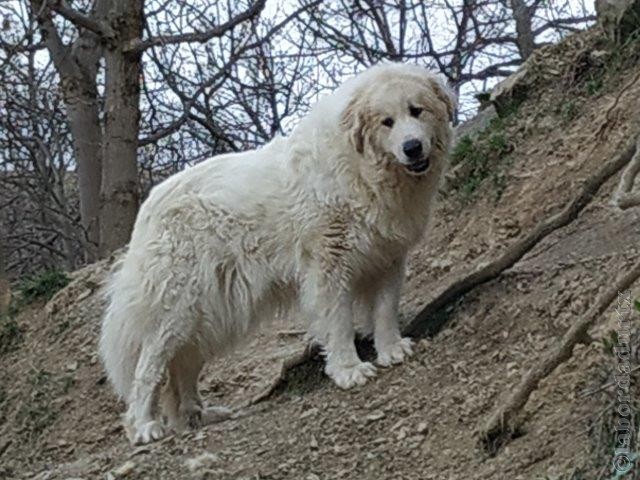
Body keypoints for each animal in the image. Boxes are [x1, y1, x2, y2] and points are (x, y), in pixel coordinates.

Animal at [100, 62, 456, 442]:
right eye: (386, 122)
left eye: (416, 110)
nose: (412, 147)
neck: (362, 167)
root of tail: (150, 206)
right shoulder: (329, 265)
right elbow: (339, 322)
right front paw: (348, 370)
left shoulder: (388, 259)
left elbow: (385, 310)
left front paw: (391, 350)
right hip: (177, 309)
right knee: (148, 368)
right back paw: (144, 426)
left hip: (207, 315)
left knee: (182, 366)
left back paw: (196, 417)